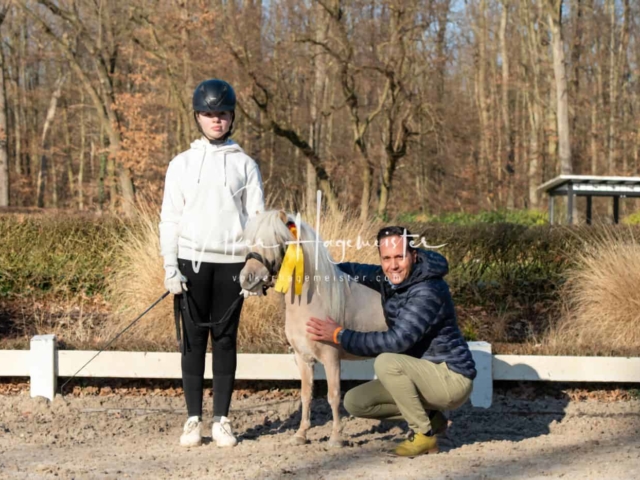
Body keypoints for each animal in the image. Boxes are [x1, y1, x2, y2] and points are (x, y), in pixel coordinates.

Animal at [239, 210, 384, 446]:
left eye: (276, 239)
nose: (246, 279)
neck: (315, 301)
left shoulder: (331, 357)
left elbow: (333, 396)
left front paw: (336, 438)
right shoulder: (303, 358)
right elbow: (306, 395)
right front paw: (300, 435)